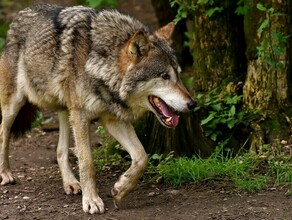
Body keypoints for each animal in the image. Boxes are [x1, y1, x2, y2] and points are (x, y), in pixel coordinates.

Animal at [0, 4, 196, 214]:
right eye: (164, 76)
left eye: (178, 75)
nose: (193, 103)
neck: (100, 64)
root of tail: (21, 13)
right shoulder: (81, 117)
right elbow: (87, 163)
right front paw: (92, 201)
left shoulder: (112, 119)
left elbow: (142, 156)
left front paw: (120, 190)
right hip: (16, 104)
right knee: (3, 131)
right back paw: (5, 173)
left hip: (66, 111)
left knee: (60, 150)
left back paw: (70, 183)